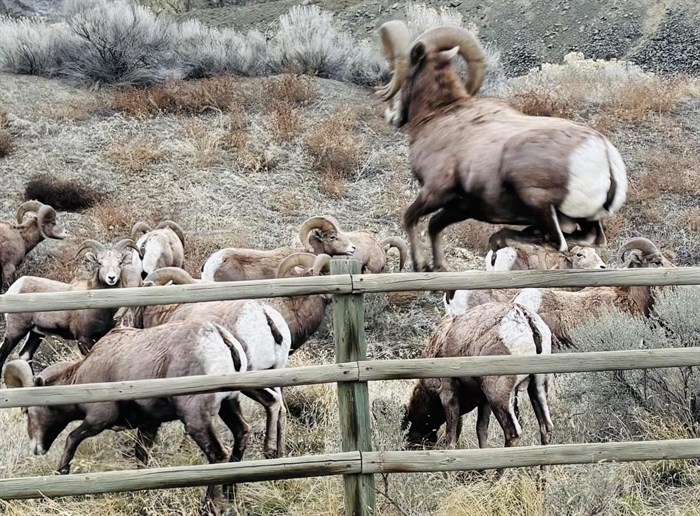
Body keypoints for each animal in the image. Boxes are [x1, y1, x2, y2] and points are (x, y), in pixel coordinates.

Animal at [0, 238, 139, 370]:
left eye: (119, 263)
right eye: (99, 263)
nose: (111, 278)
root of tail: (16, 286)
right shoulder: (83, 339)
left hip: (36, 333)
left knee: (25, 355)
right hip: (15, 331)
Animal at [2, 318, 249, 508]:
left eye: (27, 411)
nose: (36, 448)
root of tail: (220, 338)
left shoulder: (98, 420)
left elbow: (72, 439)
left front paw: (62, 472)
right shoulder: (149, 425)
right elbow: (141, 457)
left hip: (196, 419)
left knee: (217, 455)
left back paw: (208, 506)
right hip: (229, 405)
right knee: (241, 434)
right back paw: (231, 496)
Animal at [118, 266, 292, 460]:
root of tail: (264, 316)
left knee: (272, 402)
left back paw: (268, 450)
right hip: (275, 374)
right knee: (280, 409)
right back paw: (276, 452)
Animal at [378, 22, 628, 272]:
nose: (391, 115)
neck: (440, 115)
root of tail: (603, 151)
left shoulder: (434, 192)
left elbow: (410, 217)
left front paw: (421, 265)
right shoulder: (461, 208)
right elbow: (434, 226)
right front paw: (439, 266)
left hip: (538, 201)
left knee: (557, 241)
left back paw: (503, 238)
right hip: (587, 220)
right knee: (589, 239)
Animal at [402, 300, 556, 454]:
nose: (407, 445)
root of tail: (525, 318)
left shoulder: (448, 391)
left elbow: (451, 435)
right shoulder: (484, 401)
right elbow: (481, 431)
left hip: (498, 394)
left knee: (513, 432)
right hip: (538, 385)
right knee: (546, 427)